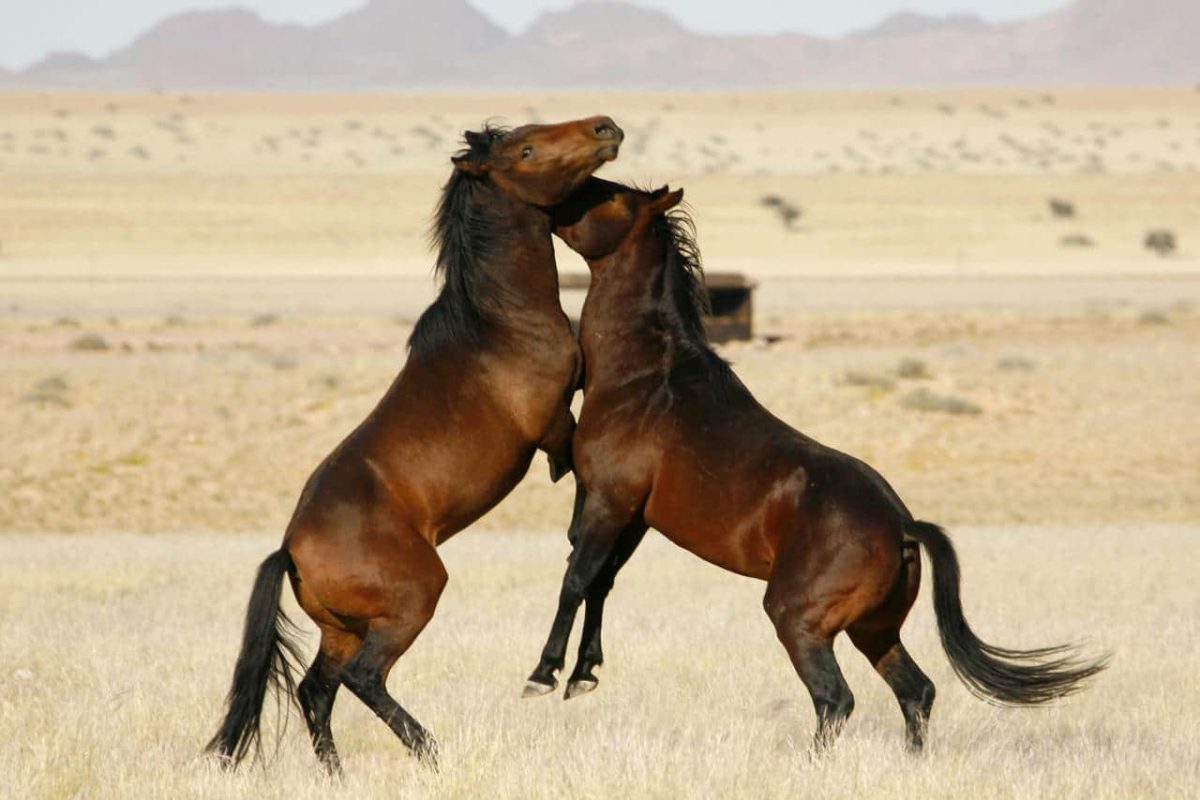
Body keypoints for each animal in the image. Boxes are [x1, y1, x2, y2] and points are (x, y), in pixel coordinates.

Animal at [206, 116, 624, 774]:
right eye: (526, 149)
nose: (604, 127)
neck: (500, 323)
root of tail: (291, 551)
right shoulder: (555, 425)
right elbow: (579, 481)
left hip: (344, 627)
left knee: (316, 688)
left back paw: (337, 774)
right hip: (411, 603)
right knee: (362, 679)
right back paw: (430, 751)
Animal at [522, 179, 1108, 751]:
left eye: (610, 196)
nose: (553, 205)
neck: (647, 378)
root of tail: (902, 525)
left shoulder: (609, 501)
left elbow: (576, 579)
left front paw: (544, 674)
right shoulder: (632, 517)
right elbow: (601, 582)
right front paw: (583, 675)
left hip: (799, 621)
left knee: (836, 698)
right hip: (874, 631)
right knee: (915, 691)